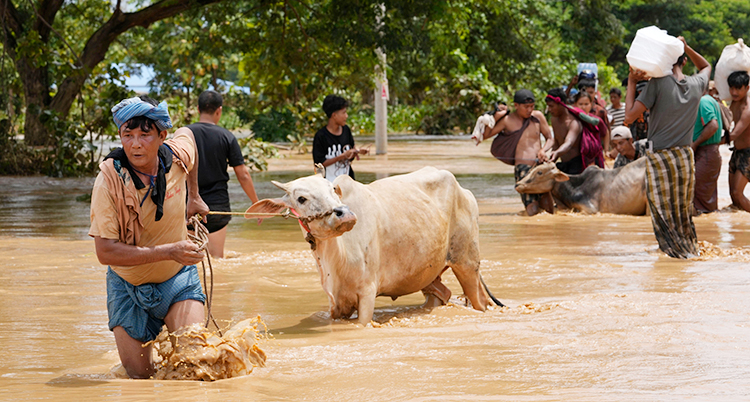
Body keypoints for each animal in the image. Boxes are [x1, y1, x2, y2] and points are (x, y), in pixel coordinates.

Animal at [248, 165, 506, 326]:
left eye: (332, 190)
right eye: (301, 198)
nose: (344, 215)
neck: (336, 258)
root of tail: (465, 191)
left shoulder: (367, 293)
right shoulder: (335, 303)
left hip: (466, 263)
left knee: (479, 301)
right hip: (429, 272)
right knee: (442, 294)